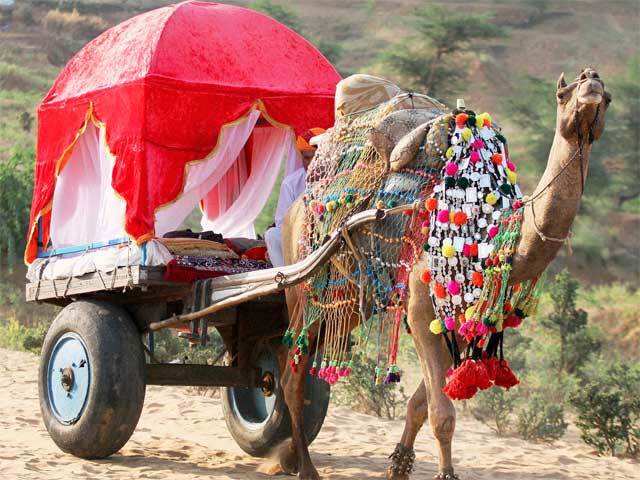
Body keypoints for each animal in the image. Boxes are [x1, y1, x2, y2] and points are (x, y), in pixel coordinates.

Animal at [276, 68, 608, 480]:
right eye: (563, 94)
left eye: (607, 97)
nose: (591, 82)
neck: (487, 233)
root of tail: (294, 207)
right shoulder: (422, 311)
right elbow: (442, 415)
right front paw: (443, 472)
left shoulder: (459, 320)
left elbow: (422, 404)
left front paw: (398, 467)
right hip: (302, 284)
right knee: (291, 375)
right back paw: (305, 467)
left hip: (347, 299)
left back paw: (289, 457)